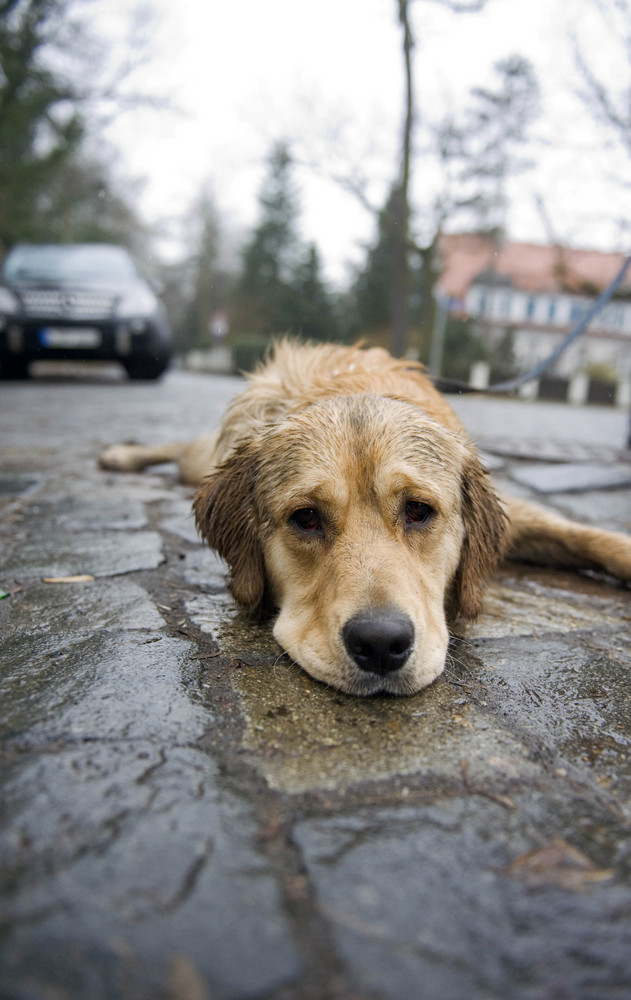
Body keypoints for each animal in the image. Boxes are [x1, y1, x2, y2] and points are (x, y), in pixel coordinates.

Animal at [99, 342, 631, 696]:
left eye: (418, 510)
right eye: (306, 518)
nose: (380, 643)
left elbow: (587, 536)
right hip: (203, 455)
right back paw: (121, 454)